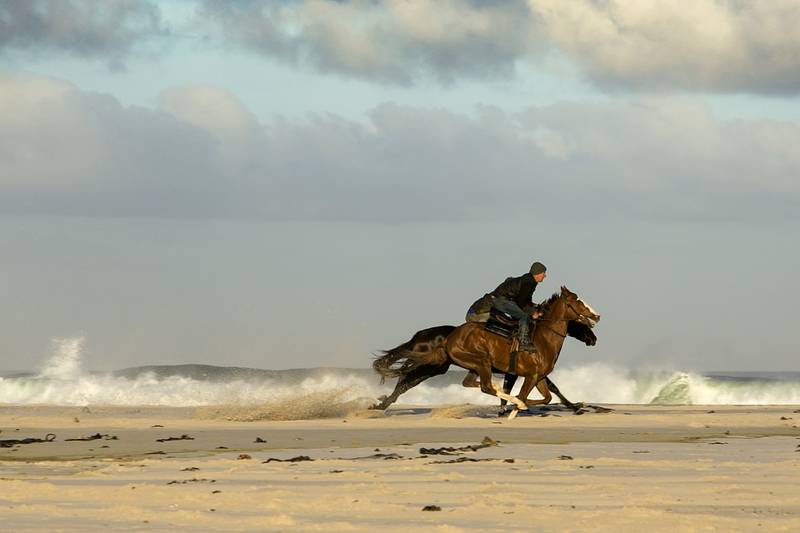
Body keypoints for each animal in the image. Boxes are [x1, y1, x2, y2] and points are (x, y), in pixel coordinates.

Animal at [373, 287, 600, 419]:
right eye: (578, 303)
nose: (596, 318)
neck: (541, 338)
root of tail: (446, 338)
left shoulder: (535, 375)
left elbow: (548, 395)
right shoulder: (529, 374)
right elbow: (532, 393)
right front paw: (513, 407)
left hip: (454, 366)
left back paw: (381, 404)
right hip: (470, 363)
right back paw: (381, 404)